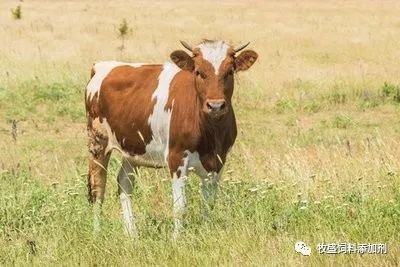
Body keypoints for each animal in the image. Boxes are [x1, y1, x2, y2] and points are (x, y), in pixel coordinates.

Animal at [85, 40, 258, 239]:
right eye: (198, 71)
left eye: (229, 71)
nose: (215, 105)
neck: (211, 134)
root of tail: (102, 65)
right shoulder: (177, 158)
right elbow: (180, 207)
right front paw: (176, 239)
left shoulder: (219, 161)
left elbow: (209, 204)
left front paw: (206, 233)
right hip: (97, 141)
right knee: (97, 188)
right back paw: (96, 232)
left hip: (133, 149)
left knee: (125, 183)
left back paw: (131, 233)